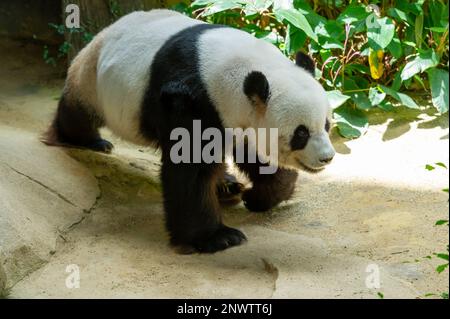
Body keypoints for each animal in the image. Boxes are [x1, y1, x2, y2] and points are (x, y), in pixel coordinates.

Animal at [44, 8, 336, 255]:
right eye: (301, 133)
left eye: (326, 125)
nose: (327, 157)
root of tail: (106, 31)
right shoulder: (191, 97)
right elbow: (189, 166)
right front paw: (217, 238)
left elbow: (254, 153)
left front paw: (260, 197)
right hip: (92, 80)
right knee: (78, 113)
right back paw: (87, 141)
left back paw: (227, 185)